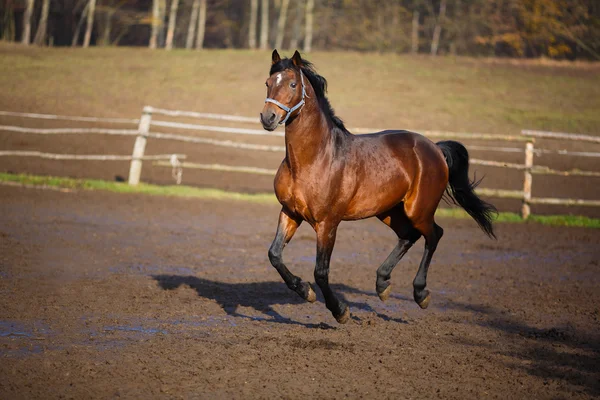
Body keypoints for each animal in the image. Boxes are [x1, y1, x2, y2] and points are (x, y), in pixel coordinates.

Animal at [260, 50, 494, 324]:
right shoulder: (290, 212)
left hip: (418, 210)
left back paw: (420, 294)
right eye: (268, 82)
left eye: (292, 84)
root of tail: (435, 148)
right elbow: (275, 255)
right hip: (389, 211)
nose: (268, 118)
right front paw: (304, 290)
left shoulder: (327, 223)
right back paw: (382, 285)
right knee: (409, 235)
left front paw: (340, 311)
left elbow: (321, 271)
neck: (313, 160)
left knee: (434, 235)